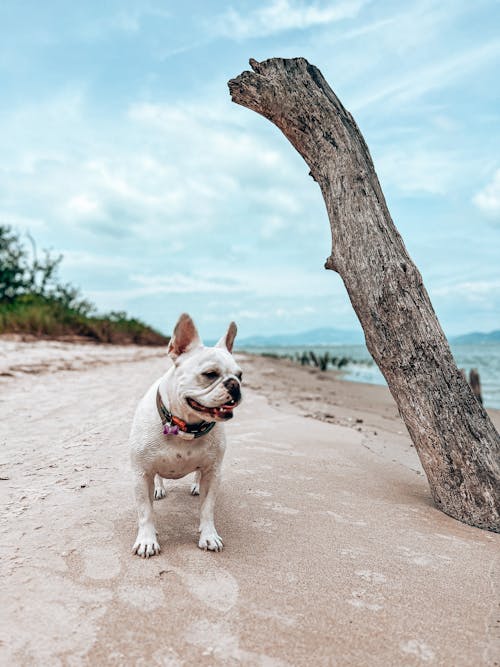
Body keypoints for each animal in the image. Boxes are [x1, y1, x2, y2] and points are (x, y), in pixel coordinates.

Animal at [129, 314, 242, 560]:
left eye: (240, 375)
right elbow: (145, 511)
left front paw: (208, 536)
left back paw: (196, 486)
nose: (234, 384)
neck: (186, 427)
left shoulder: (213, 472)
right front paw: (147, 540)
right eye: (210, 374)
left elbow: (207, 508)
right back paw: (159, 489)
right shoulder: (141, 473)